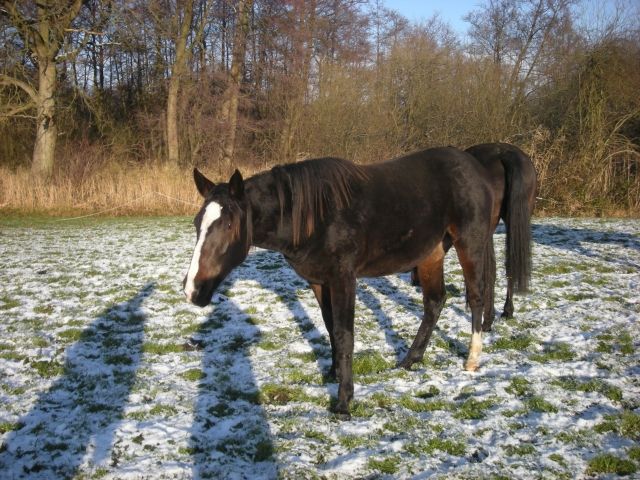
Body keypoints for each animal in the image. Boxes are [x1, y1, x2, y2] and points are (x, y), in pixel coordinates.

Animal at [183, 147, 496, 418]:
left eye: (229, 225)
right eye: (197, 223)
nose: (192, 290)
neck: (314, 216)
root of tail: (476, 167)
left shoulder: (344, 277)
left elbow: (345, 335)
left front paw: (344, 401)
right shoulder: (320, 281)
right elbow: (330, 327)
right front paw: (332, 374)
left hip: (469, 243)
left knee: (476, 296)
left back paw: (472, 359)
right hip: (431, 253)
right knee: (434, 302)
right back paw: (410, 359)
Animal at [410, 142, 536, 326]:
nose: (415, 281)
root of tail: (504, 153)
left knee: (490, 269)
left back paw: (487, 320)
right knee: (509, 264)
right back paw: (506, 311)